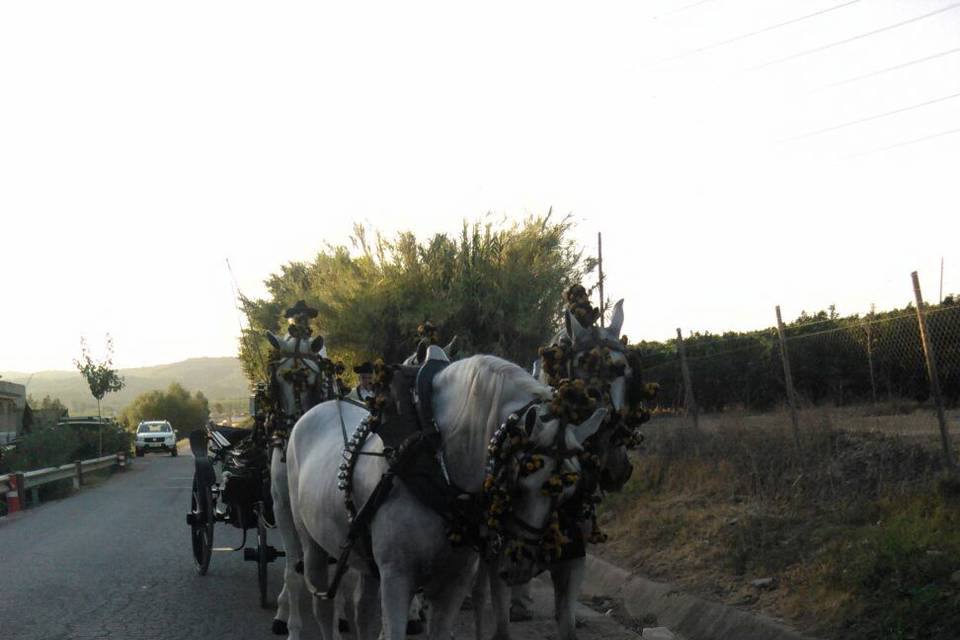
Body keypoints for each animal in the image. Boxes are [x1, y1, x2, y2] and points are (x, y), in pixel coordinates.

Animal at [284, 356, 608, 640]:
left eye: (569, 490)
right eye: (522, 481)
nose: (522, 565)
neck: (436, 461)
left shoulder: (454, 581)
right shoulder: (396, 577)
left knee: (363, 612)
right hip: (310, 543)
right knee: (320, 602)